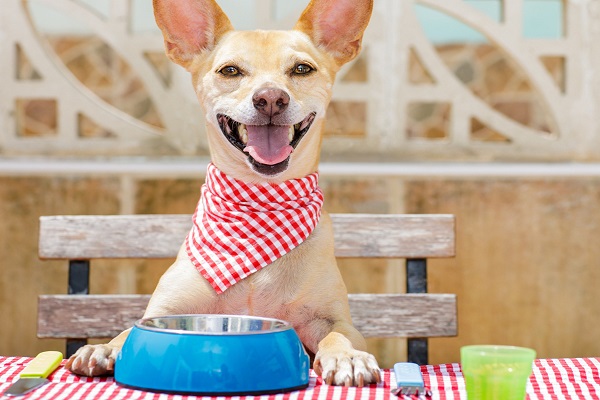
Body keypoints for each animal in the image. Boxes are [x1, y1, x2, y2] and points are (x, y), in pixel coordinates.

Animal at [63, 0, 378, 388]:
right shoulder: (165, 310)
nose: (270, 98)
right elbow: (126, 331)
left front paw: (347, 356)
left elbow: (339, 334)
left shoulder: (333, 318)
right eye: (230, 70)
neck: (257, 203)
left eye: (302, 68)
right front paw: (103, 347)